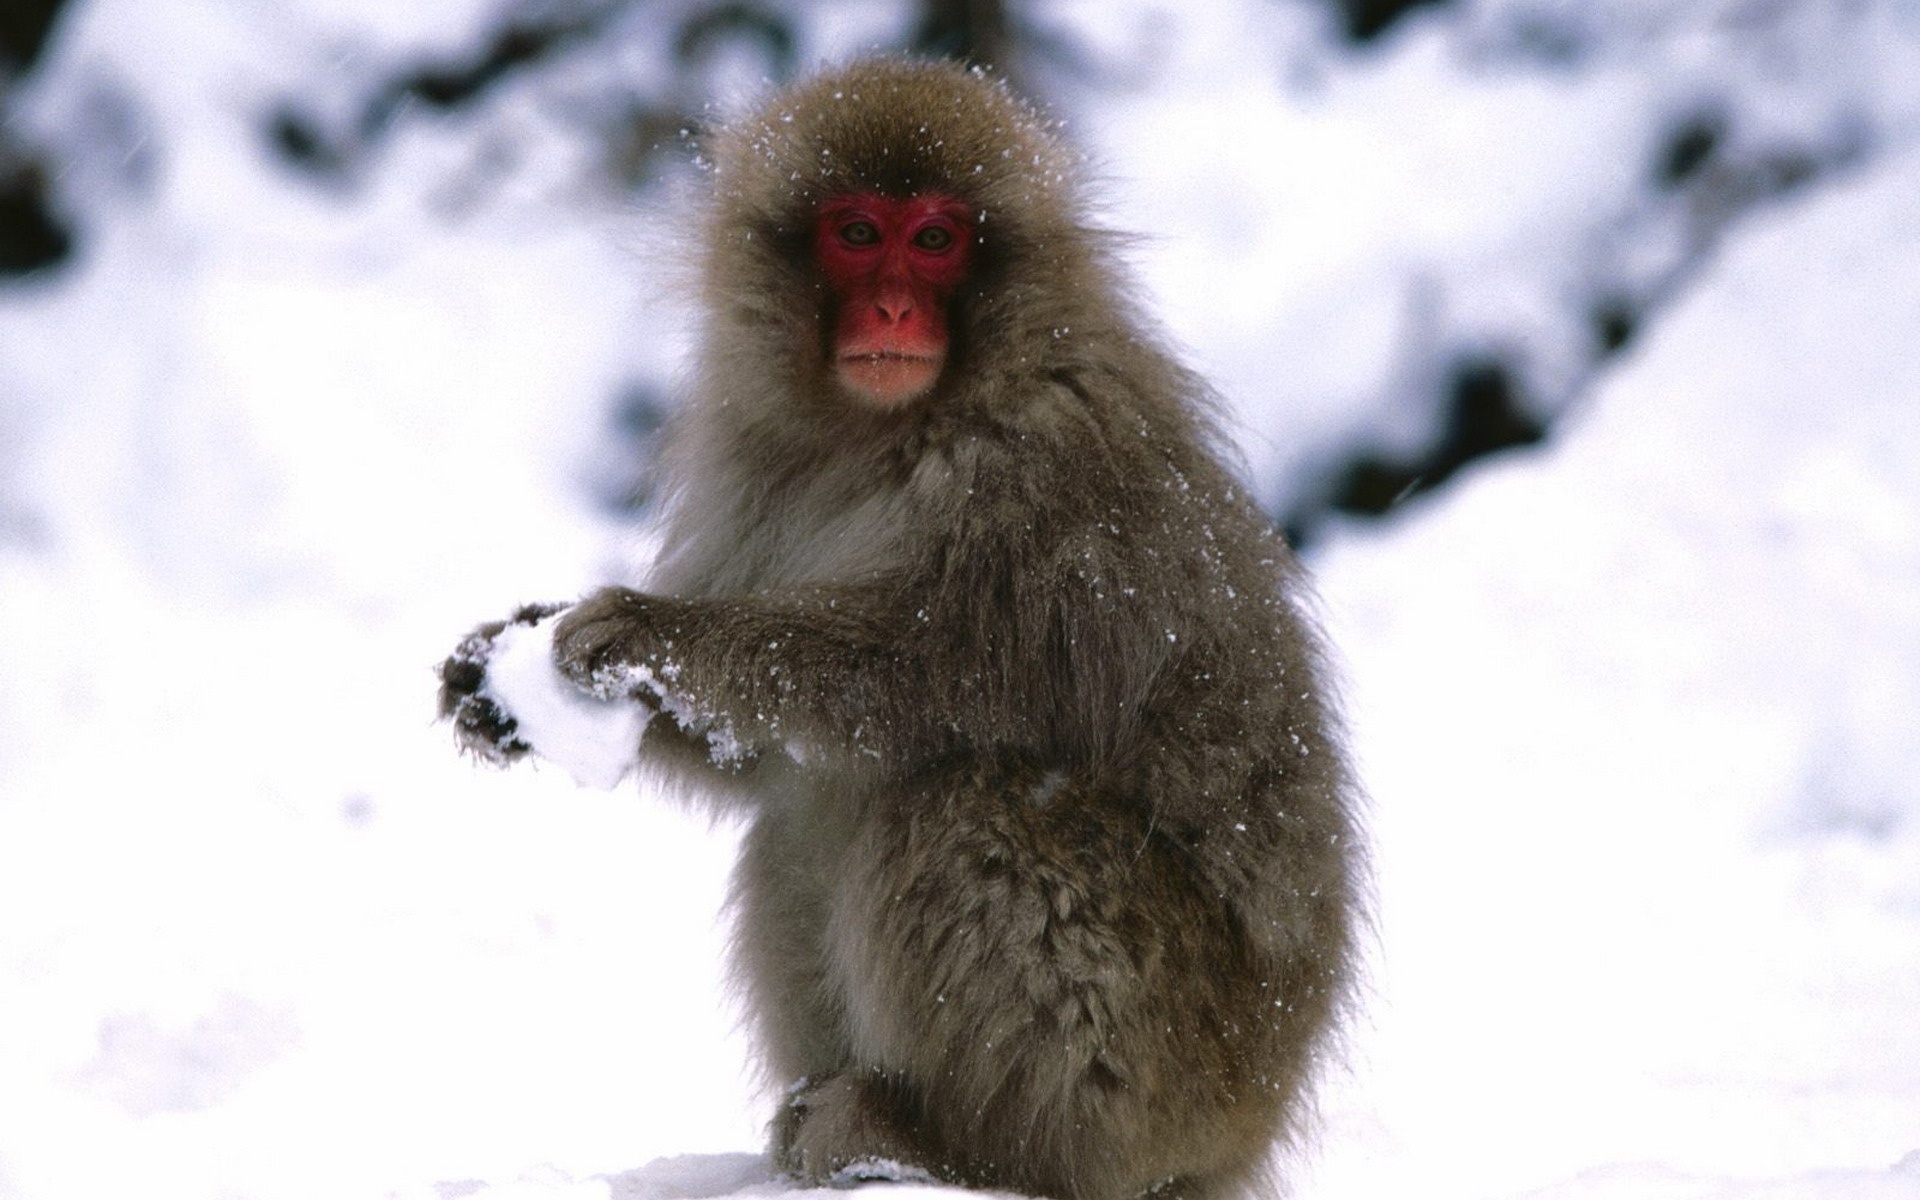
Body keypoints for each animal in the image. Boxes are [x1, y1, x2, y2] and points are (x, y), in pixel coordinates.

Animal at [439, 58, 1359, 1200]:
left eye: (934, 239)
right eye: (856, 231)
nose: (891, 304)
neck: (886, 432)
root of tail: (1248, 1129)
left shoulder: (1042, 490)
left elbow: (906, 679)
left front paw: (647, 634)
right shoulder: (754, 459)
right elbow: (758, 756)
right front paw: (500, 671)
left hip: (1155, 1062)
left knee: (960, 800)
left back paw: (952, 1147)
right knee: (798, 820)